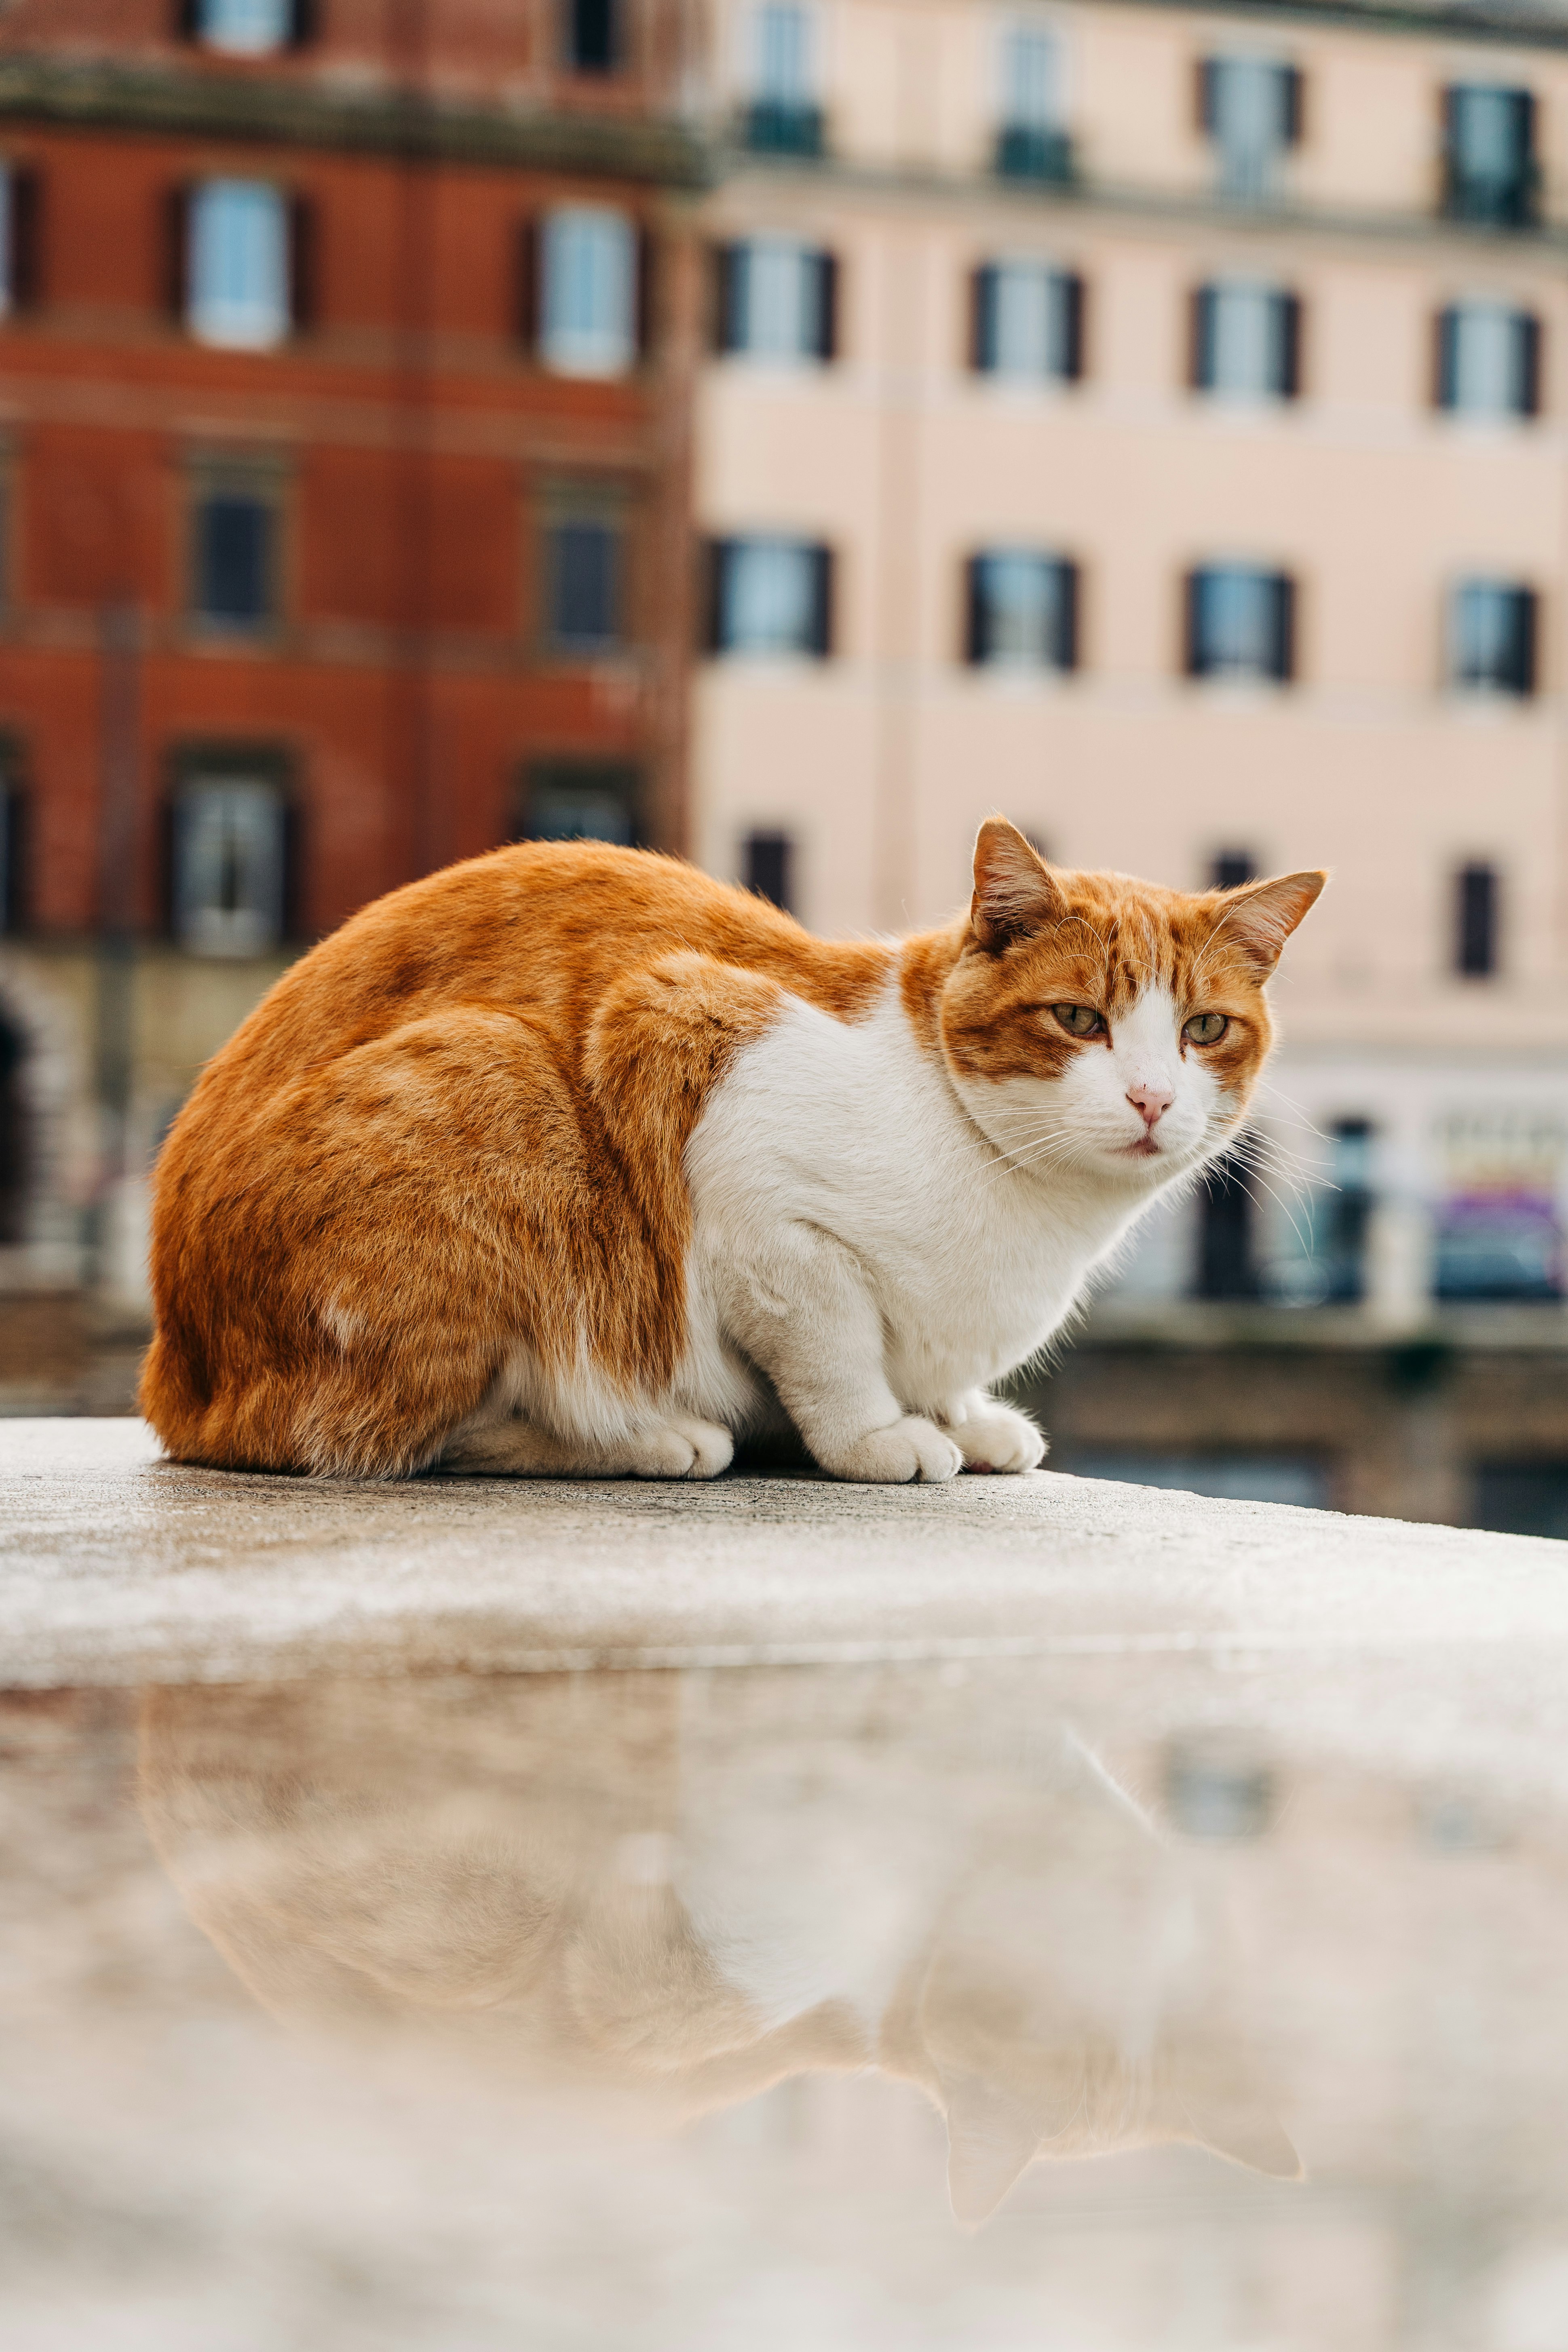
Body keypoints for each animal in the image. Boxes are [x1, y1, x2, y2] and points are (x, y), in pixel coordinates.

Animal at [144, 818, 1325, 1477]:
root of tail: (175, 1375)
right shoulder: (717, 1106)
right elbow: (837, 1352)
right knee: (403, 1434)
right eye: (1078, 1019)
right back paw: (646, 1438)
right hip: (499, 1079)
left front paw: (962, 1416)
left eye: (1203, 1029)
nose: (1149, 1098)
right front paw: (881, 1437)